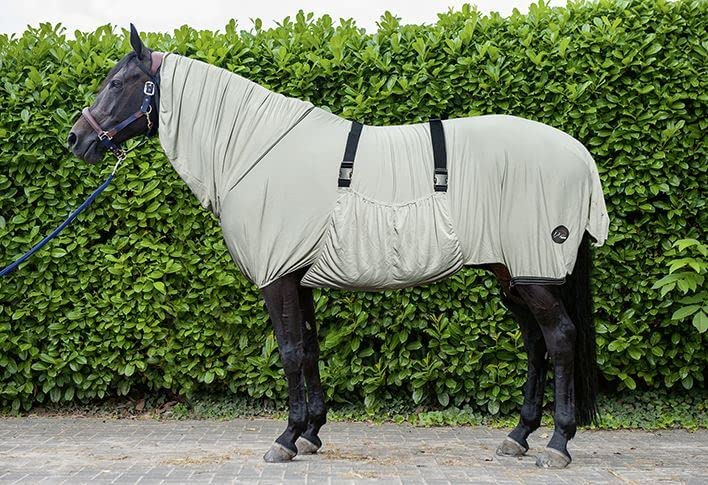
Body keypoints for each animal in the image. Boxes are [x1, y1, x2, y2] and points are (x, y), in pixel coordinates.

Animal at [67, 25, 609, 469]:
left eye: (117, 83)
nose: (76, 139)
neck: (255, 150)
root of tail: (579, 155)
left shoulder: (277, 276)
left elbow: (289, 352)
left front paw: (285, 439)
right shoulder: (296, 274)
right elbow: (308, 350)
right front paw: (310, 433)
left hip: (534, 270)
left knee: (560, 337)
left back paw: (557, 444)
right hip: (512, 272)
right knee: (536, 341)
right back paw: (518, 435)